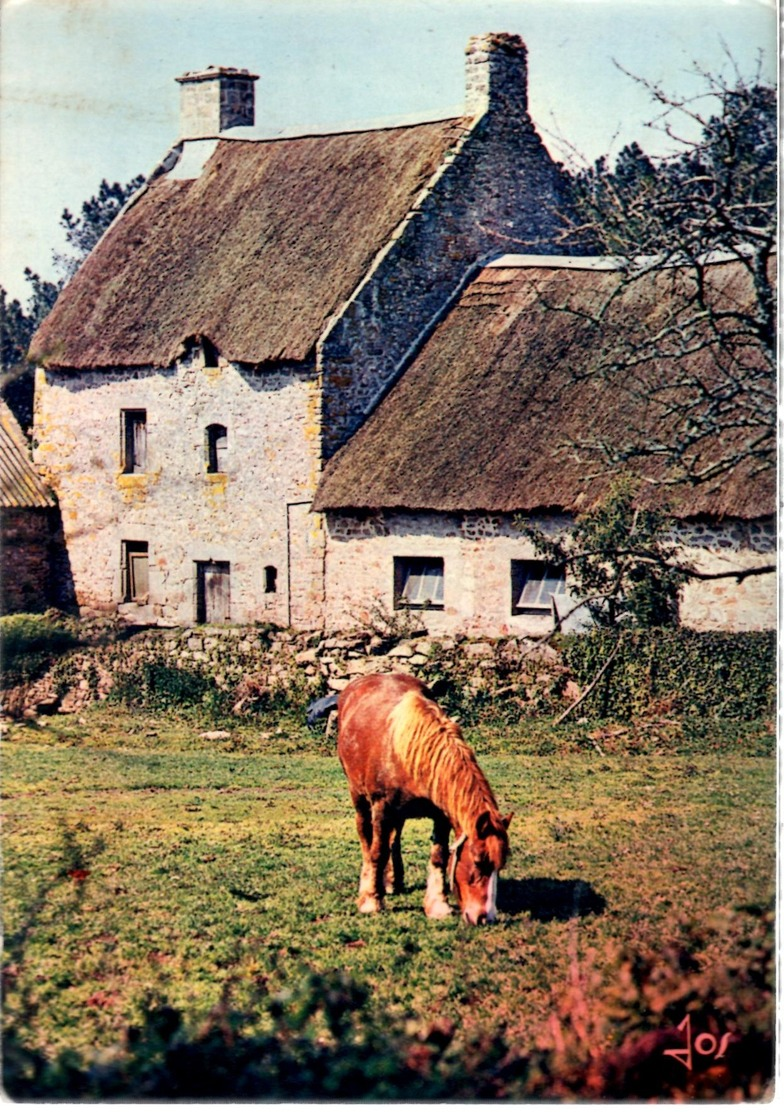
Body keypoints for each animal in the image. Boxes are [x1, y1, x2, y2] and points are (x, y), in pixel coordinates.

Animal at [338, 671, 513, 925]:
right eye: (478, 861)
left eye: (500, 866)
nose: (485, 918)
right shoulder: (382, 808)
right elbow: (377, 852)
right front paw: (372, 901)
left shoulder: (440, 815)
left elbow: (438, 856)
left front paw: (438, 905)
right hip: (359, 798)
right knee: (366, 838)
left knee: (393, 839)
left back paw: (391, 881)